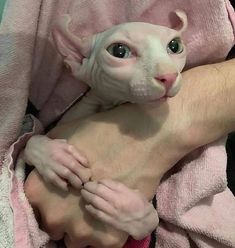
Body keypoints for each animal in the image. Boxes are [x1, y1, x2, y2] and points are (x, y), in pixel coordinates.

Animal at [24, 10, 187, 241]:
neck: (110, 106)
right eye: (119, 51)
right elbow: (30, 140)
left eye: (174, 46)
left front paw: (125, 208)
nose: (169, 76)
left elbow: (151, 223)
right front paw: (56, 158)